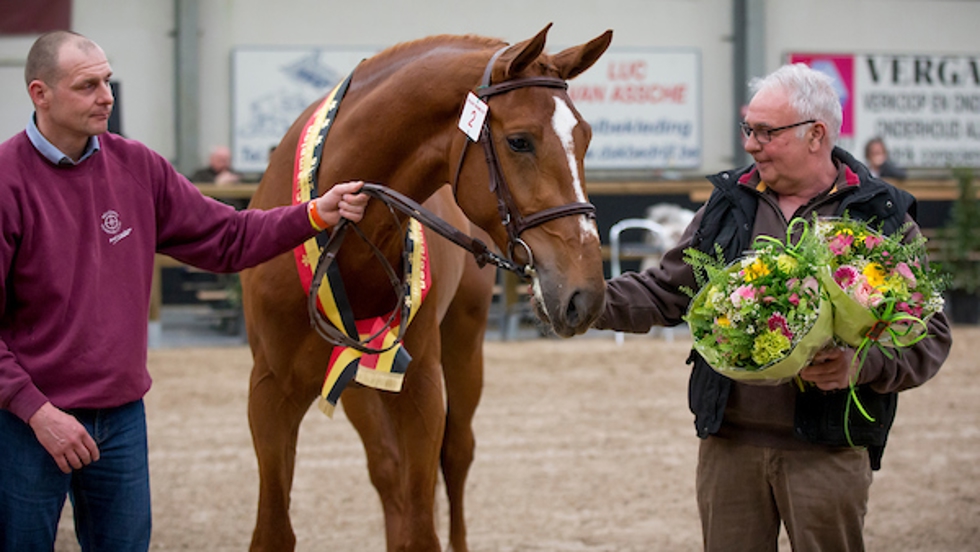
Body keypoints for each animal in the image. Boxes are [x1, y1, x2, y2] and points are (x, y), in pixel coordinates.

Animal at [243, 25, 612, 552]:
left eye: (585, 138)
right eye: (519, 141)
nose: (585, 294)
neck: (343, 241)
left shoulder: (419, 391)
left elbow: (422, 526)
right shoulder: (269, 395)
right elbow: (275, 529)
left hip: (462, 347)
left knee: (455, 456)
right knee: (387, 470)